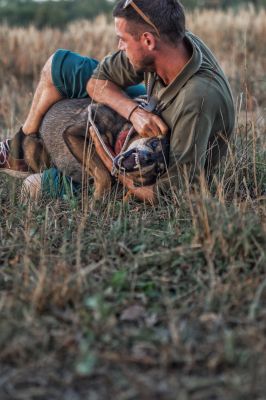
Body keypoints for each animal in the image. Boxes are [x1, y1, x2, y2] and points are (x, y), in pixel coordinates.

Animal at [22, 97, 169, 200]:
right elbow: (104, 175)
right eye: (154, 143)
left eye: (157, 170)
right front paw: (96, 200)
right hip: (30, 144)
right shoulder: (73, 133)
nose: (148, 158)